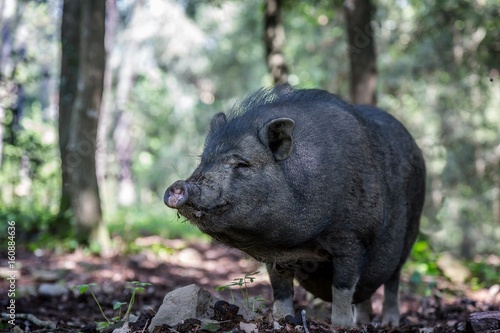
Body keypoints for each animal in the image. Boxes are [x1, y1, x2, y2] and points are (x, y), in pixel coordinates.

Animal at [164, 85, 426, 326]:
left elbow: (342, 287)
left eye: (242, 164)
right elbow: (280, 288)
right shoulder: (275, 256)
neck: (297, 243)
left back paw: (387, 323)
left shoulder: (352, 237)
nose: (178, 186)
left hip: (410, 232)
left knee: (393, 280)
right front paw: (283, 319)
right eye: (203, 160)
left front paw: (341, 326)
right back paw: (363, 322)